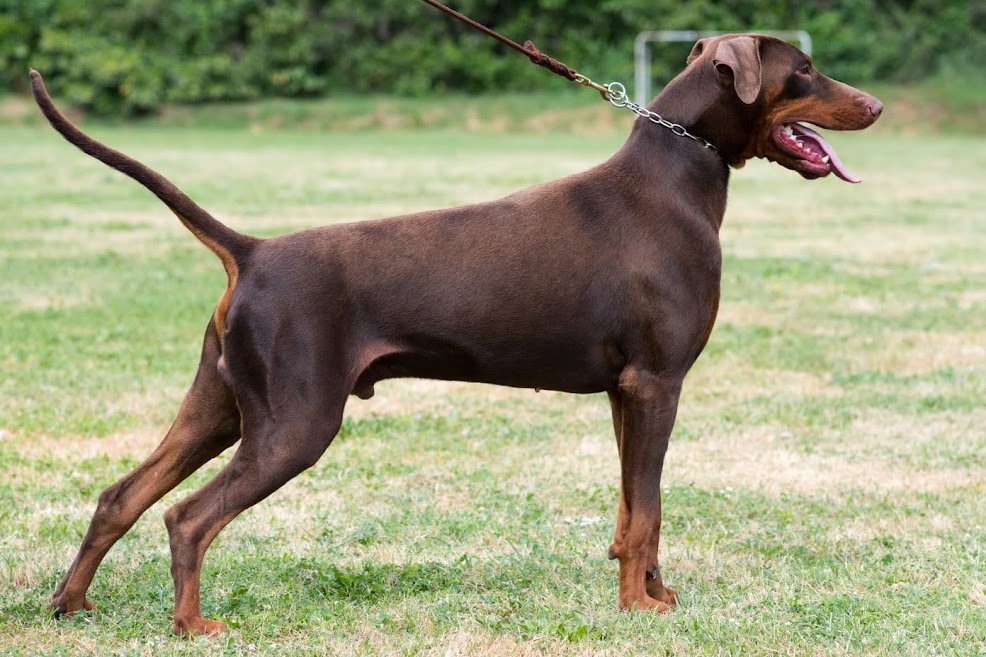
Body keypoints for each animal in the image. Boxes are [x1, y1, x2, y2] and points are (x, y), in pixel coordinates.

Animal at [30, 33, 880, 632]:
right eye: (805, 69)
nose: (874, 105)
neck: (676, 177)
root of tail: (254, 250)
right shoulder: (656, 382)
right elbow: (649, 509)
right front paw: (638, 608)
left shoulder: (624, 391)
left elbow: (634, 508)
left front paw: (654, 591)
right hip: (294, 422)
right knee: (188, 516)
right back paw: (193, 622)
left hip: (221, 406)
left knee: (121, 495)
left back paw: (71, 603)